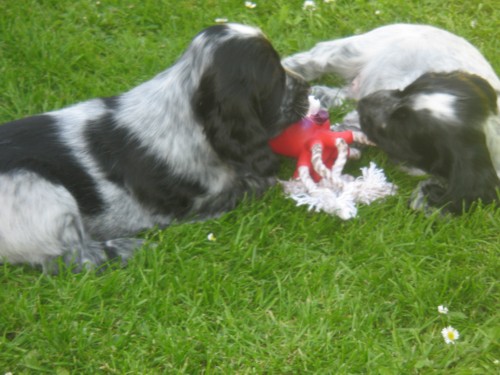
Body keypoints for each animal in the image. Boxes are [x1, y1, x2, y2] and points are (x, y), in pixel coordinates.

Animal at [0, 25, 310, 274]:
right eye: (276, 78)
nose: (307, 86)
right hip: (42, 191)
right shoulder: (200, 200)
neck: (186, 108)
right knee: (68, 258)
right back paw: (130, 249)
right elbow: (255, 182)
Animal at [286, 24, 500, 214]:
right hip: (353, 51)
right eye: (405, 90)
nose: (364, 102)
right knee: (315, 60)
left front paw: (427, 200)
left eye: (396, 131)